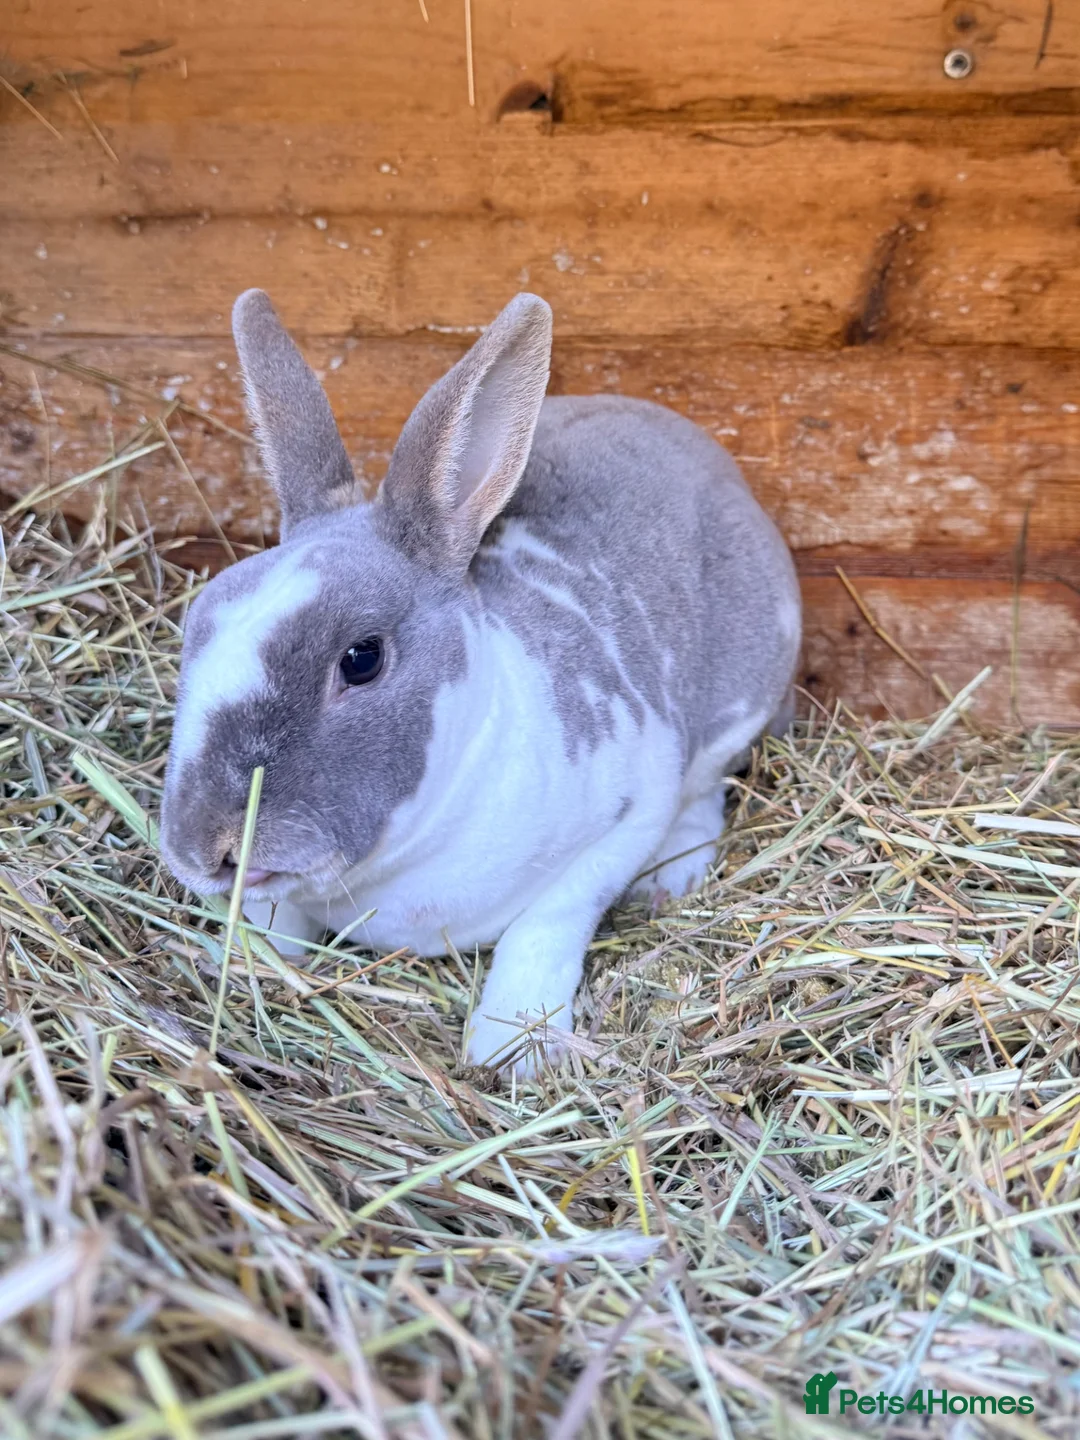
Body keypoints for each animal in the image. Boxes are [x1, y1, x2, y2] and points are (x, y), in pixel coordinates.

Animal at [159, 289, 801, 1077]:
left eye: (361, 658)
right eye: (194, 625)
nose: (209, 847)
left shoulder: (628, 811)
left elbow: (547, 923)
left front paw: (512, 1049)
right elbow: (274, 919)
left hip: (737, 706)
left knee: (707, 793)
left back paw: (669, 880)